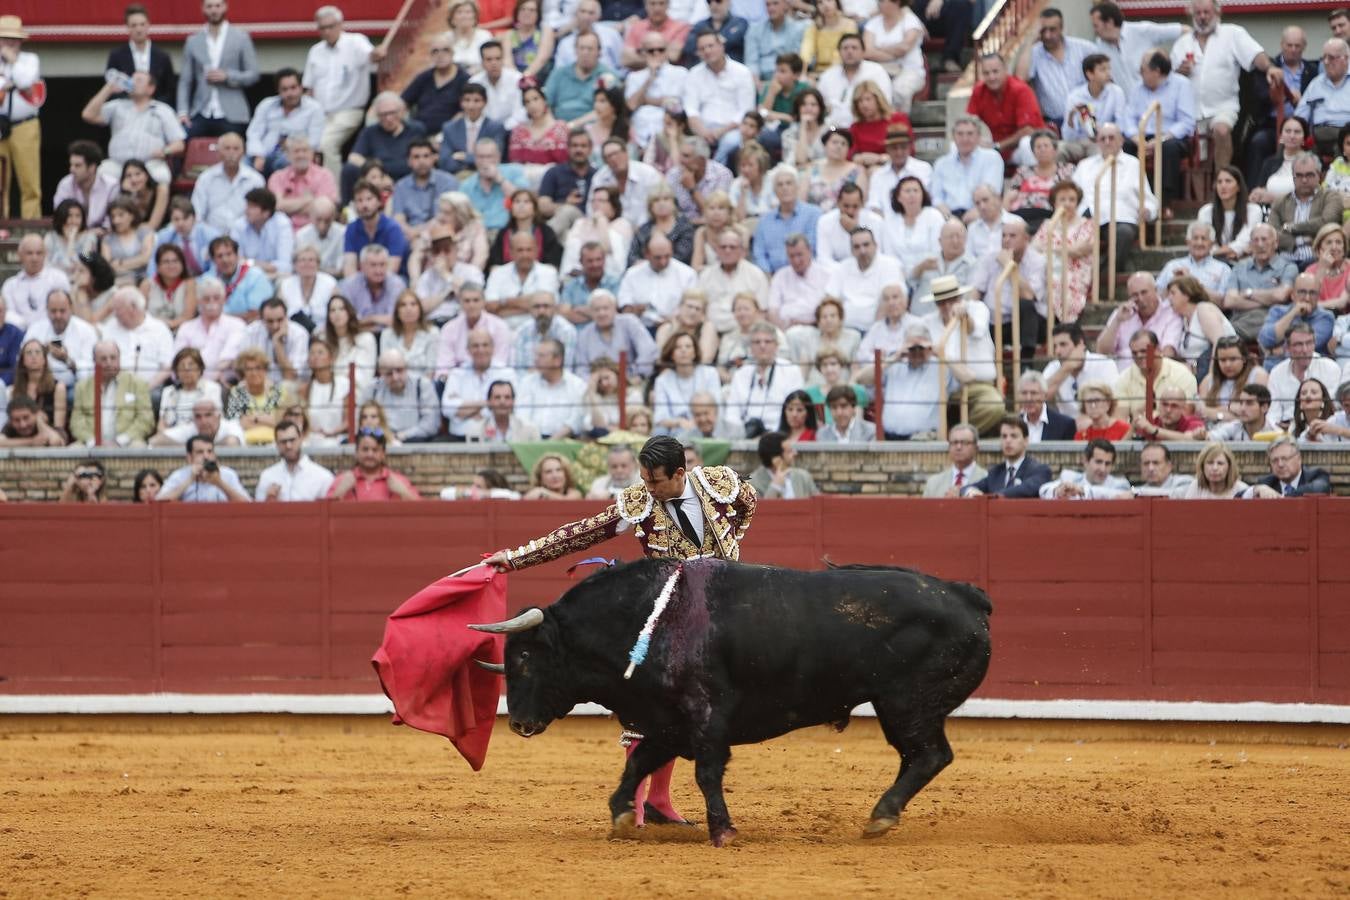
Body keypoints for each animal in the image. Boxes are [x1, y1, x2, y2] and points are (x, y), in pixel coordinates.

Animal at [472, 555, 993, 847]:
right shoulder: (668, 720)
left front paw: (722, 830)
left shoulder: (706, 717)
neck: (647, 620)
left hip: (906, 704)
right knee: (923, 757)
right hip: (903, 707)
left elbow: (705, 772)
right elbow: (639, 762)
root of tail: (965, 596)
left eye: (524, 657)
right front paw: (621, 815)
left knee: (928, 755)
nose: (517, 722)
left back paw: (881, 816)